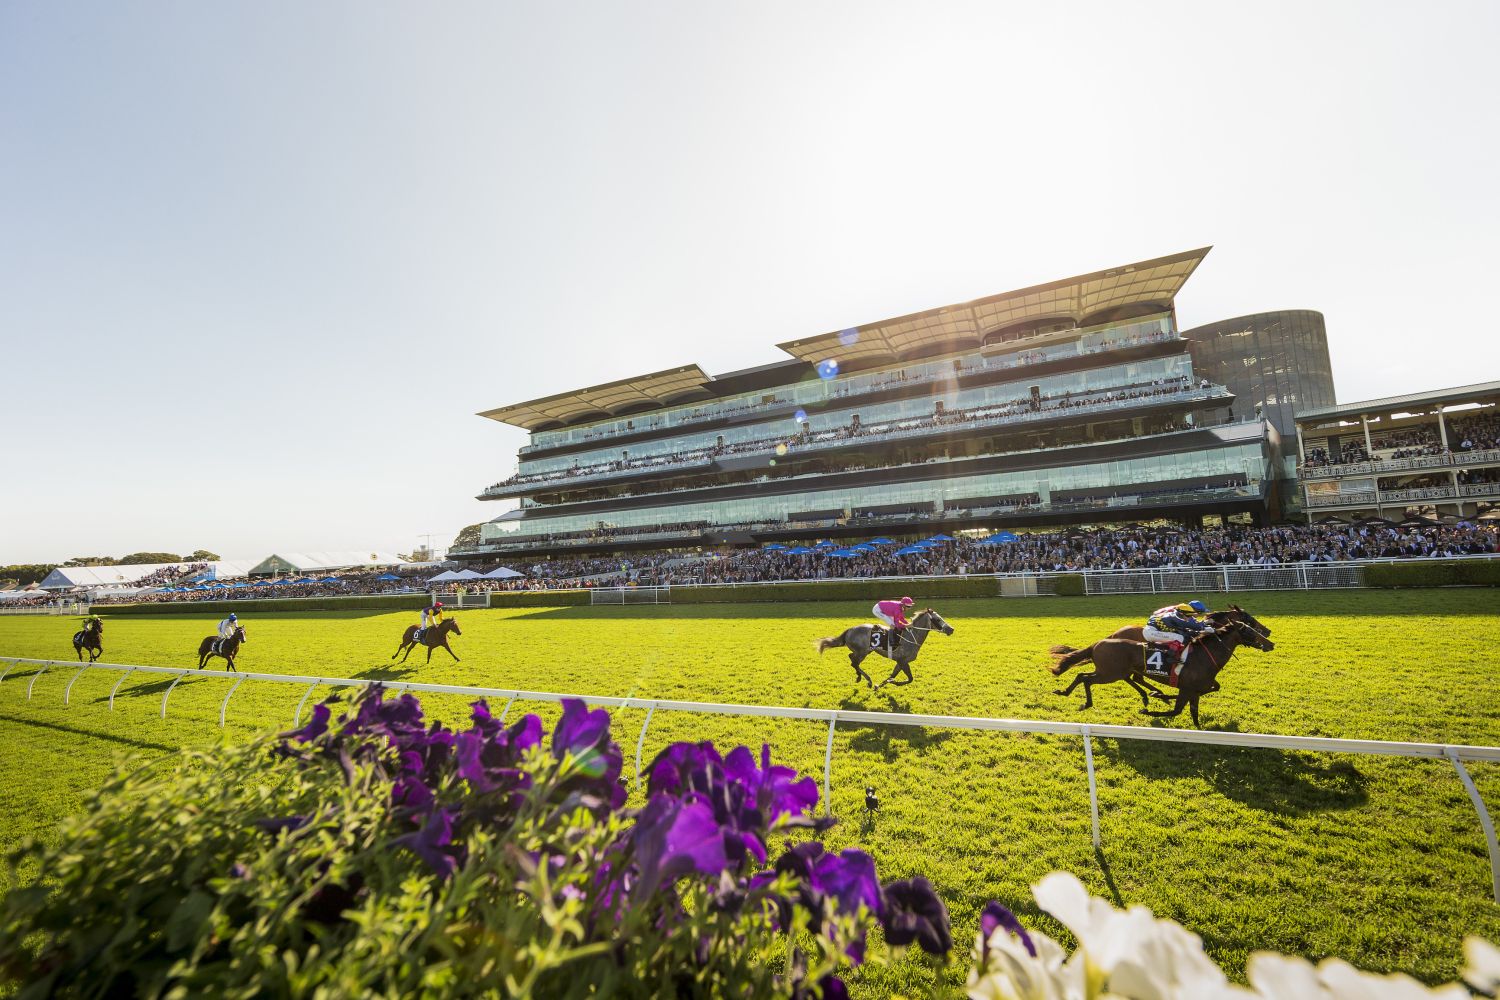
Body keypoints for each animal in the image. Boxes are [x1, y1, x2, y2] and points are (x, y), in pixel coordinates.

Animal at [816, 605, 954, 692]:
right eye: (938, 619)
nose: (951, 629)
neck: (912, 636)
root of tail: (850, 630)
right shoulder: (903, 661)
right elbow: (909, 679)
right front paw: (893, 682)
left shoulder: (900, 662)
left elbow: (893, 675)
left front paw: (880, 685)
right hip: (863, 652)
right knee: (853, 662)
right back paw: (867, 680)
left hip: (864, 651)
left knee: (852, 659)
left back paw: (861, 678)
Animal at [1050, 617, 1272, 728]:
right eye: (1249, 629)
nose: (1270, 642)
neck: (1204, 655)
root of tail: (1099, 642)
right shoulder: (1186, 689)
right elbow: (1177, 711)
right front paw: (1149, 710)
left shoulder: (1195, 690)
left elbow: (1195, 713)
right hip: (1110, 673)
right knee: (1087, 679)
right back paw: (1086, 702)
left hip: (1112, 671)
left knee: (1084, 676)